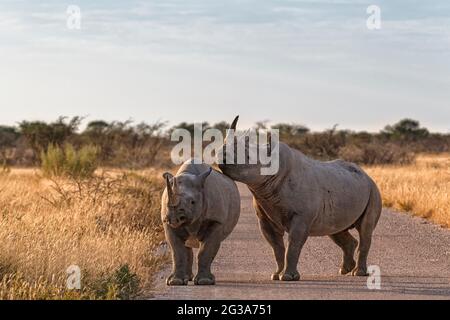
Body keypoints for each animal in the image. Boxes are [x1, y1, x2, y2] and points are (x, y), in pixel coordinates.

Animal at [216, 115, 382, 280]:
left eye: (248, 157)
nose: (221, 157)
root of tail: (367, 175)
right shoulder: (265, 216)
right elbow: (276, 247)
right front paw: (276, 274)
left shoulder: (302, 216)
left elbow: (293, 245)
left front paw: (288, 277)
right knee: (336, 228)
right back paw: (345, 270)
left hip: (373, 190)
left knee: (365, 230)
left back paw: (358, 273)